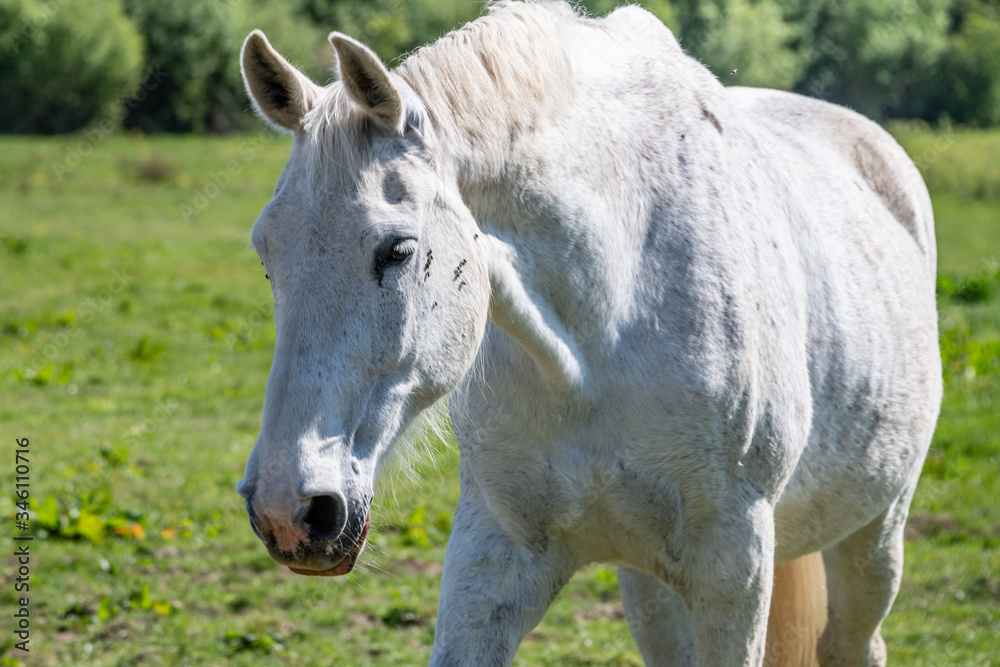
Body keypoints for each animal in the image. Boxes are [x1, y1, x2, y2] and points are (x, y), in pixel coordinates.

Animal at [234, 2, 936, 664]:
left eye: (398, 250)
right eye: (266, 256)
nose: (287, 510)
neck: (601, 337)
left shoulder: (734, 565)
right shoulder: (495, 549)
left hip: (874, 532)